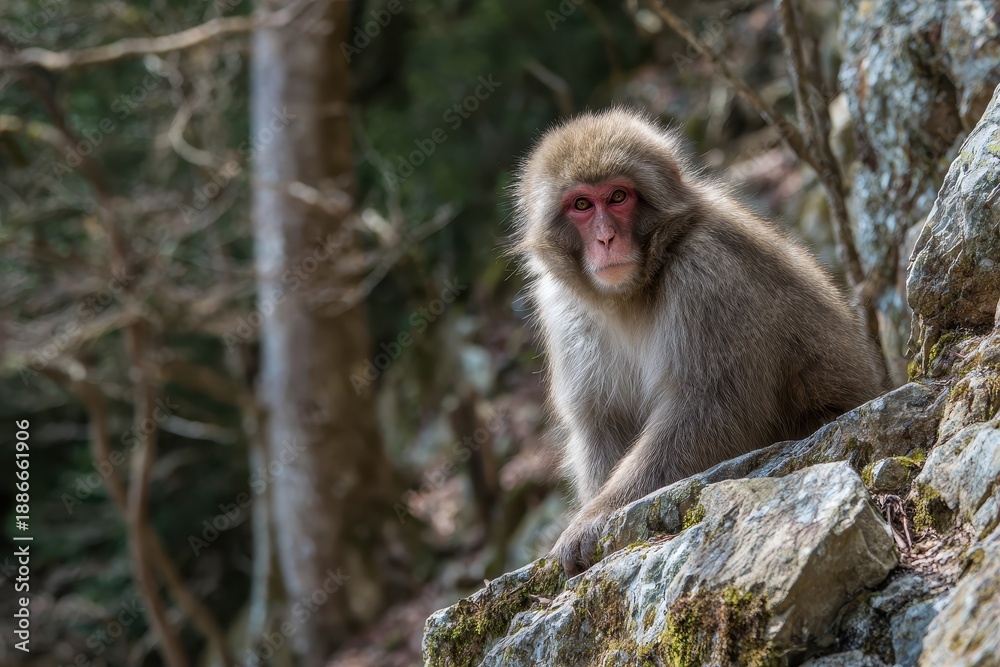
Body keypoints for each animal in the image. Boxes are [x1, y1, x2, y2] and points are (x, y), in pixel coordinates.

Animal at [510, 108, 886, 576]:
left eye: (617, 197)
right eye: (582, 205)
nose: (605, 238)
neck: (634, 292)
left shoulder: (706, 274)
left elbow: (711, 406)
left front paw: (594, 519)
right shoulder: (562, 308)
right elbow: (603, 421)